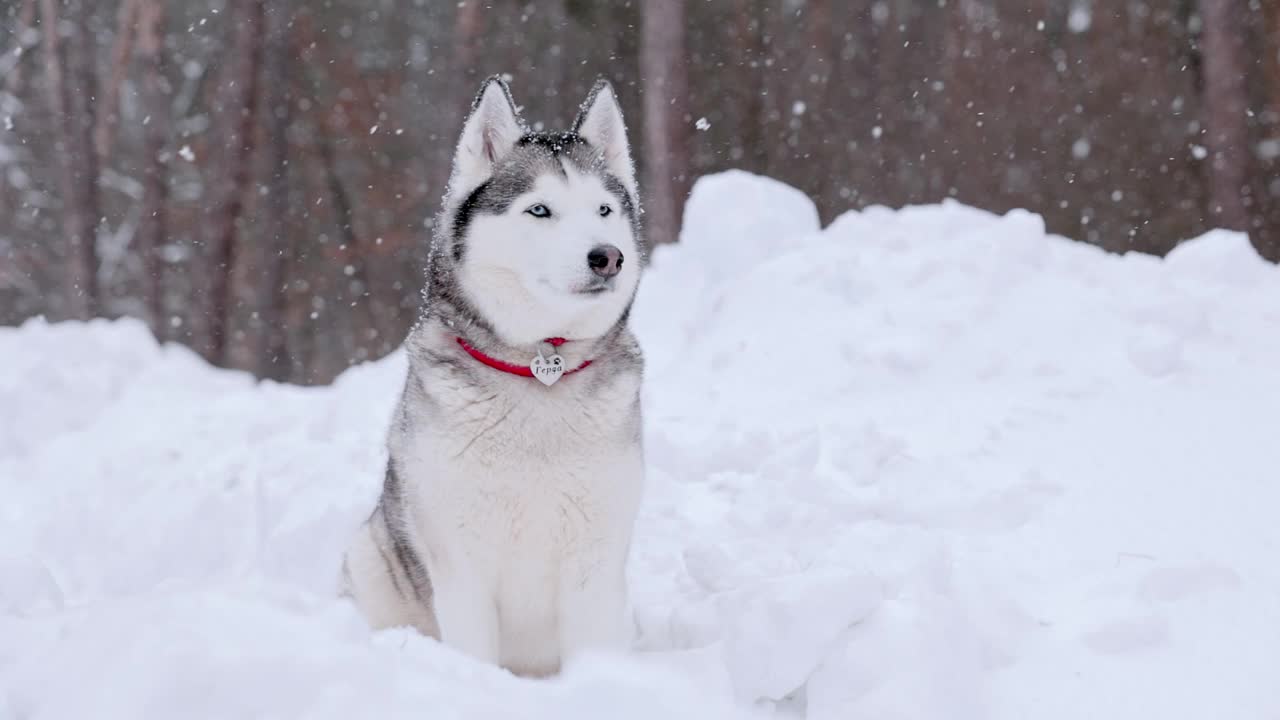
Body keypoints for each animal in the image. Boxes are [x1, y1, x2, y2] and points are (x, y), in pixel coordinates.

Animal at [340, 75, 645, 676]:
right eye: (540, 210)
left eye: (603, 209)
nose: (608, 257)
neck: (541, 368)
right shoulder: (461, 563)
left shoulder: (596, 559)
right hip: (371, 556)